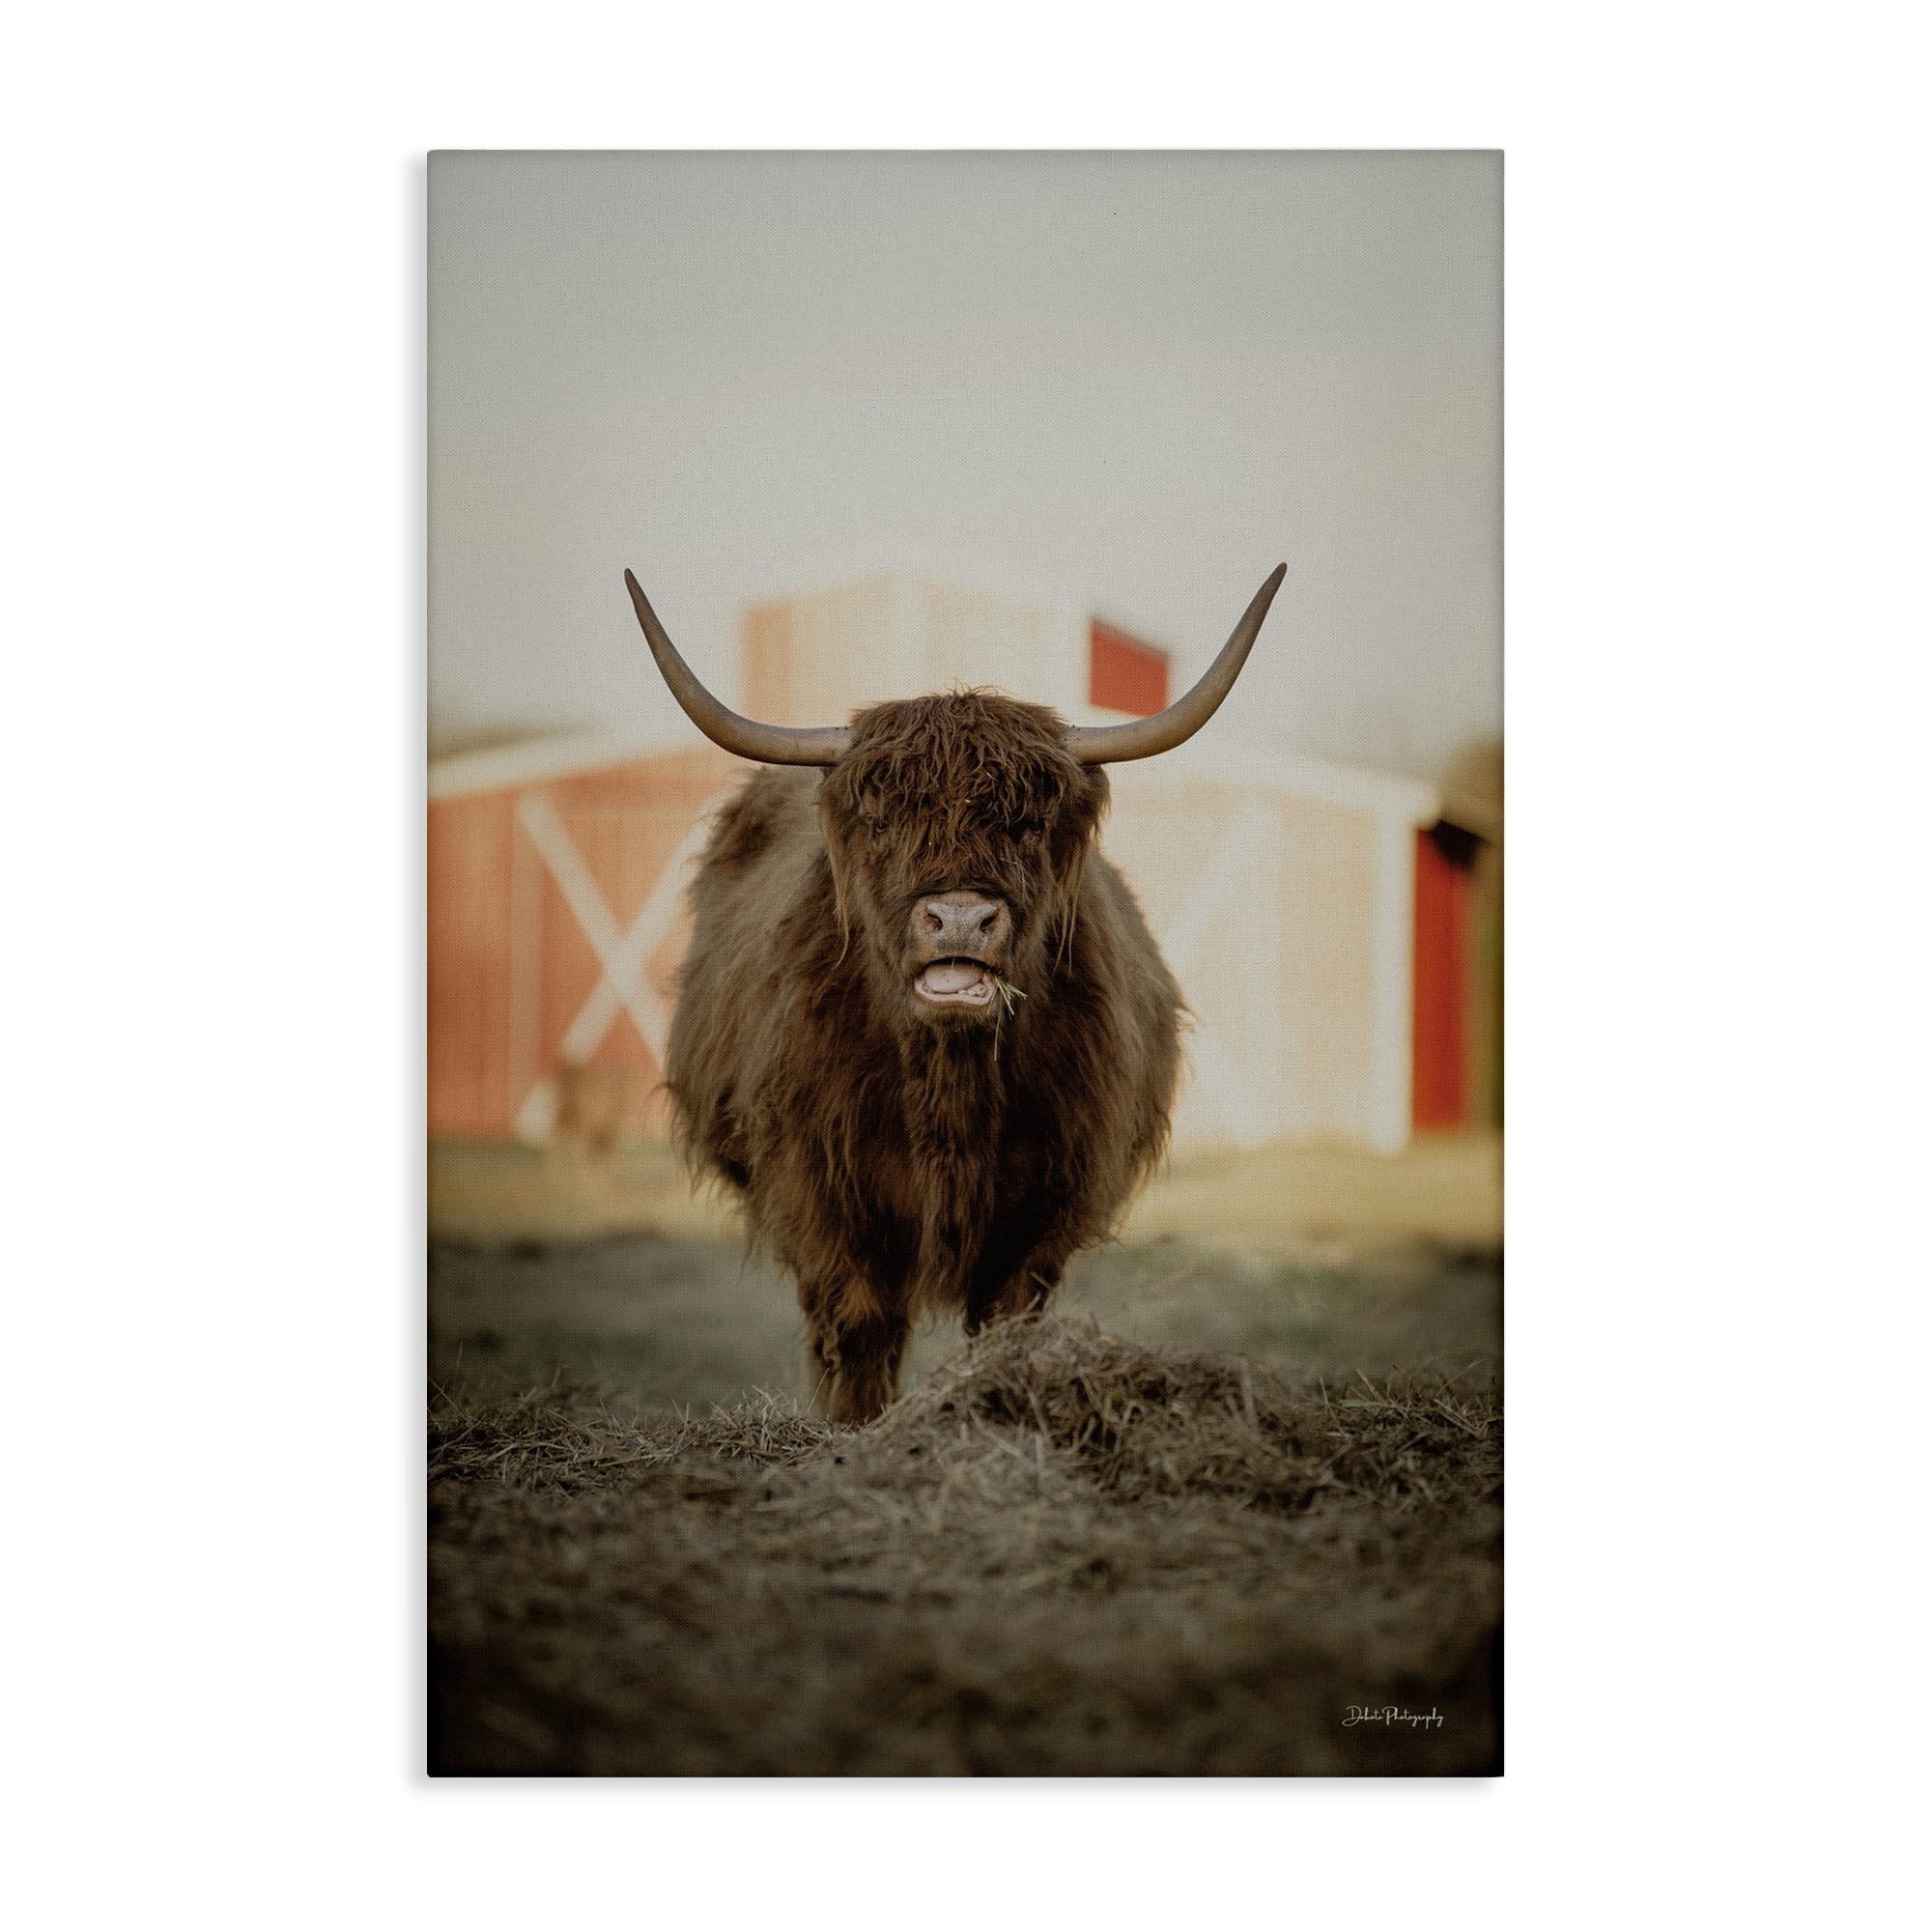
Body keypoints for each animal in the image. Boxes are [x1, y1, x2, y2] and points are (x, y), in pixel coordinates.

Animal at [624, 564, 1284, 1423]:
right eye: (880, 821)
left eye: (1028, 824)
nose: (962, 917)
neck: (948, 1085)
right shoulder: (819, 1186)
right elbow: (860, 1324)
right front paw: (859, 1429)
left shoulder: (1045, 1201)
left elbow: (1003, 1319)